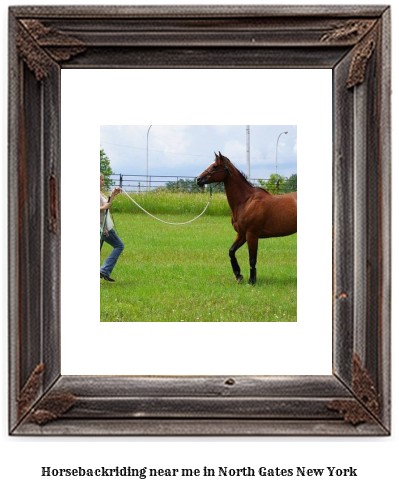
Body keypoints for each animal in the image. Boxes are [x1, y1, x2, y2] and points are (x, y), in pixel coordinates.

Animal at [197, 151, 296, 284]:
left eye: (215, 166)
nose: (198, 179)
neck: (246, 201)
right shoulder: (242, 234)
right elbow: (231, 251)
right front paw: (238, 275)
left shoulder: (251, 234)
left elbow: (252, 259)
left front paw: (251, 281)